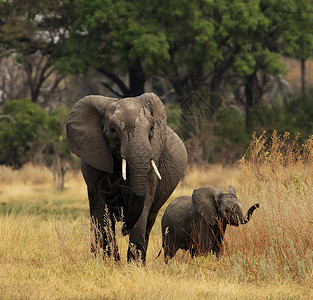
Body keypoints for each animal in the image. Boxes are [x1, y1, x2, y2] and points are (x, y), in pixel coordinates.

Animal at [66, 92, 186, 264]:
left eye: (151, 128)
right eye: (113, 130)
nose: (124, 229)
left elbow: (144, 201)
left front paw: (133, 265)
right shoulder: (94, 158)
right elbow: (100, 207)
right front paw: (106, 262)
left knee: (149, 220)